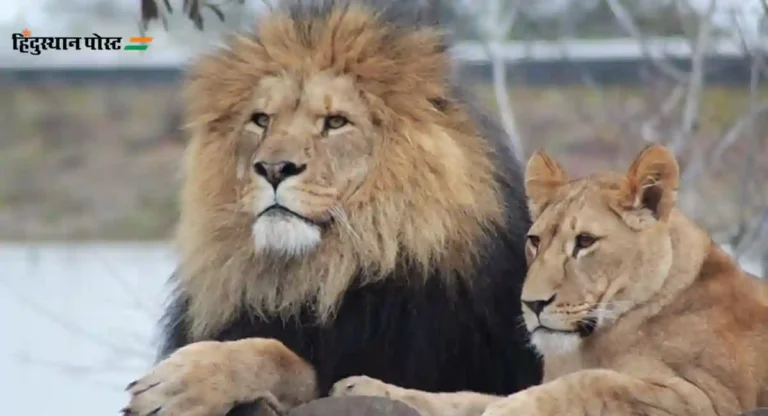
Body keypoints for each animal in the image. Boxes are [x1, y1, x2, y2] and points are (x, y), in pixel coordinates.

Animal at [121, 0, 540, 416]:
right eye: (261, 120)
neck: (320, 275)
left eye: (336, 122)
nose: (273, 168)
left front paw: (181, 381)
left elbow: (286, 359)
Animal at [334, 144, 768, 416]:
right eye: (535, 241)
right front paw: (366, 388)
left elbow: (595, 383)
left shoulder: (704, 398)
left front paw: (507, 409)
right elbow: (459, 397)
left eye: (585, 242)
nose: (532, 304)